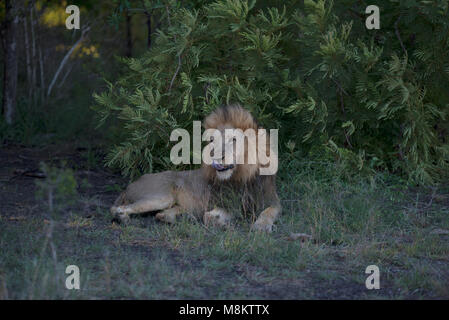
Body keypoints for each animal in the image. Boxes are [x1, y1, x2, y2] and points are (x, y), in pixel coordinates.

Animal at [109, 105, 280, 232]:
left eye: (233, 140)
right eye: (212, 140)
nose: (214, 155)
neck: (241, 176)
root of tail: (131, 184)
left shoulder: (272, 200)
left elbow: (269, 212)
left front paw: (261, 226)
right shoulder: (225, 204)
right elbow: (208, 217)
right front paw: (222, 223)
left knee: (161, 215)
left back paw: (184, 218)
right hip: (161, 197)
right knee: (117, 208)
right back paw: (124, 219)